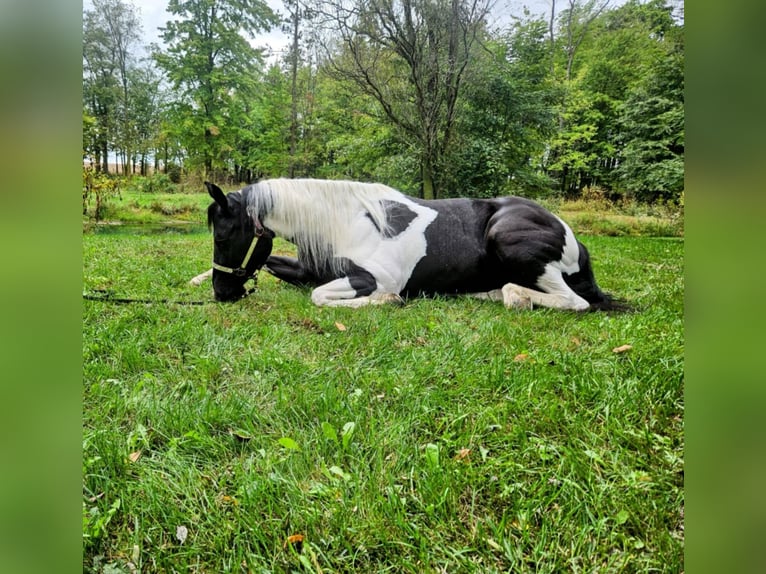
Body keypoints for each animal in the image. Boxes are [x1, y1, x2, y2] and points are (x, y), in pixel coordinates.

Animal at [200, 180, 624, 312]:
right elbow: (279, 268)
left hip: (508, 239)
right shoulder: (306, 268)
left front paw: (388, 302)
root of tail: (572, 238)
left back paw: (517, 297)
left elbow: (319, 296)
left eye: (222, 237)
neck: (346, 222)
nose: (222, 293)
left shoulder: (375, 277)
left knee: (575, 302)